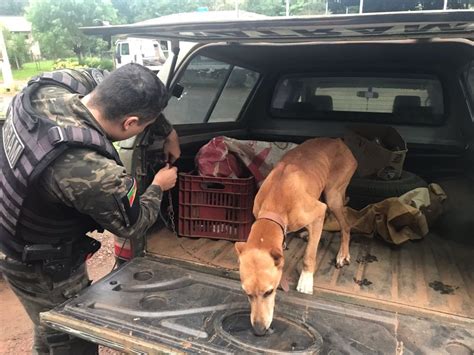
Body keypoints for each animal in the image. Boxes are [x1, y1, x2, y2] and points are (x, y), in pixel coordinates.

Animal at [235, 138, 358, 336]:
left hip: (333, 196)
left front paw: (306, 281)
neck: (275, 200)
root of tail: (338, 140)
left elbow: (309, 255)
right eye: (247, 294)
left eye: (269, 292)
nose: (259, 331)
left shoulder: (318, 212)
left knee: (345, 226)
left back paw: (342, 254)